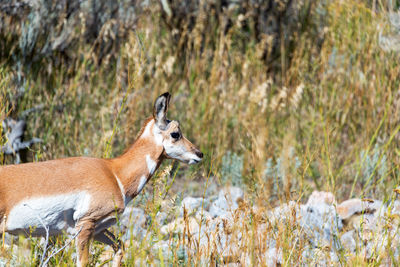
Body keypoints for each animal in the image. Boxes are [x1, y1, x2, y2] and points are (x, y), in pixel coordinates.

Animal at [0, 93, 203, 266]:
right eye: (176, 133)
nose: (199, 154)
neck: (114, 173)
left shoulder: (99, 229)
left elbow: (119, 246)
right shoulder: (86, 224)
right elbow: (83, 262)